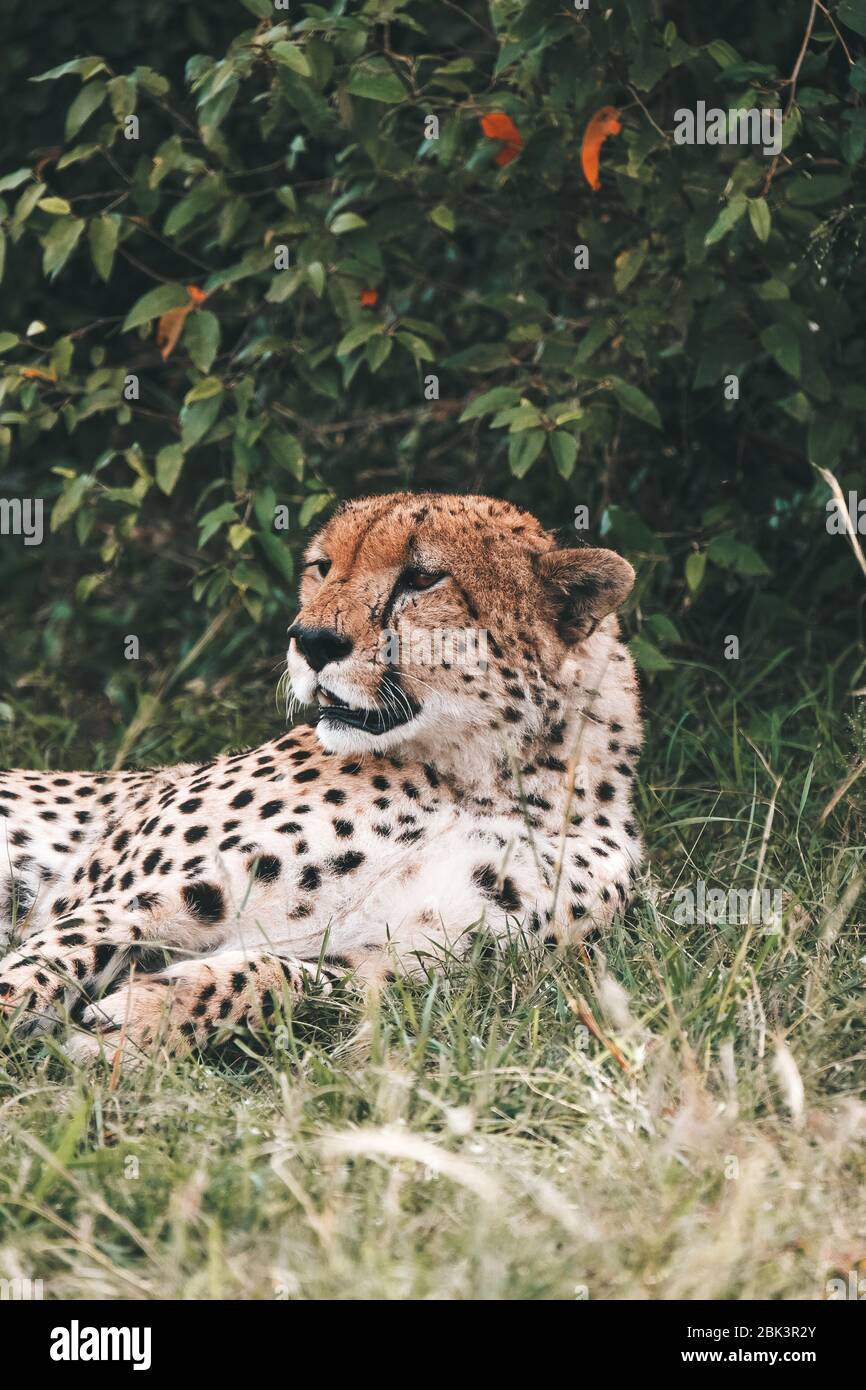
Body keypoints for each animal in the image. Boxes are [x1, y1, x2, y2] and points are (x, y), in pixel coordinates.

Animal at [1, 494, 644, 1056]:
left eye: (421, 578)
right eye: (323, 567)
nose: (310, 641)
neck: (481, 778)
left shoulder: (411, 965)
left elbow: (282, 978)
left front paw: (148, 1020)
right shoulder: (131, 895)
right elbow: (44, 964)